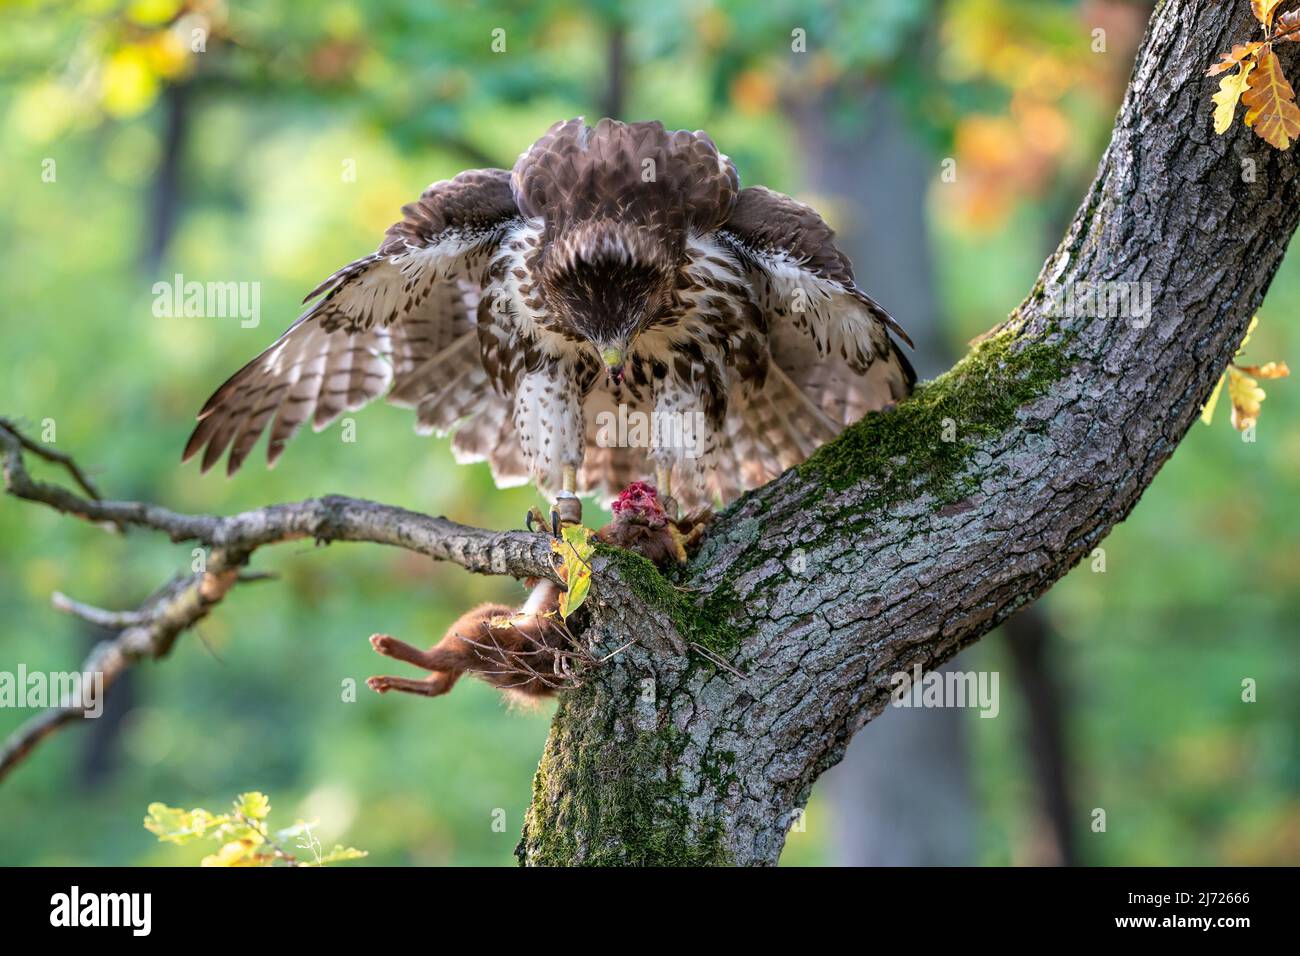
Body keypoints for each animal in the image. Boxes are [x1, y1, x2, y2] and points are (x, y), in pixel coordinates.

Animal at [367, 482, 698, 701]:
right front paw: (550, 521)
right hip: (493, 618)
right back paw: (389, 680)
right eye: (641, 498)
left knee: (441, 662)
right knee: (441, 684)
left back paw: (388, 647)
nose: (635, 493)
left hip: (482, 629)